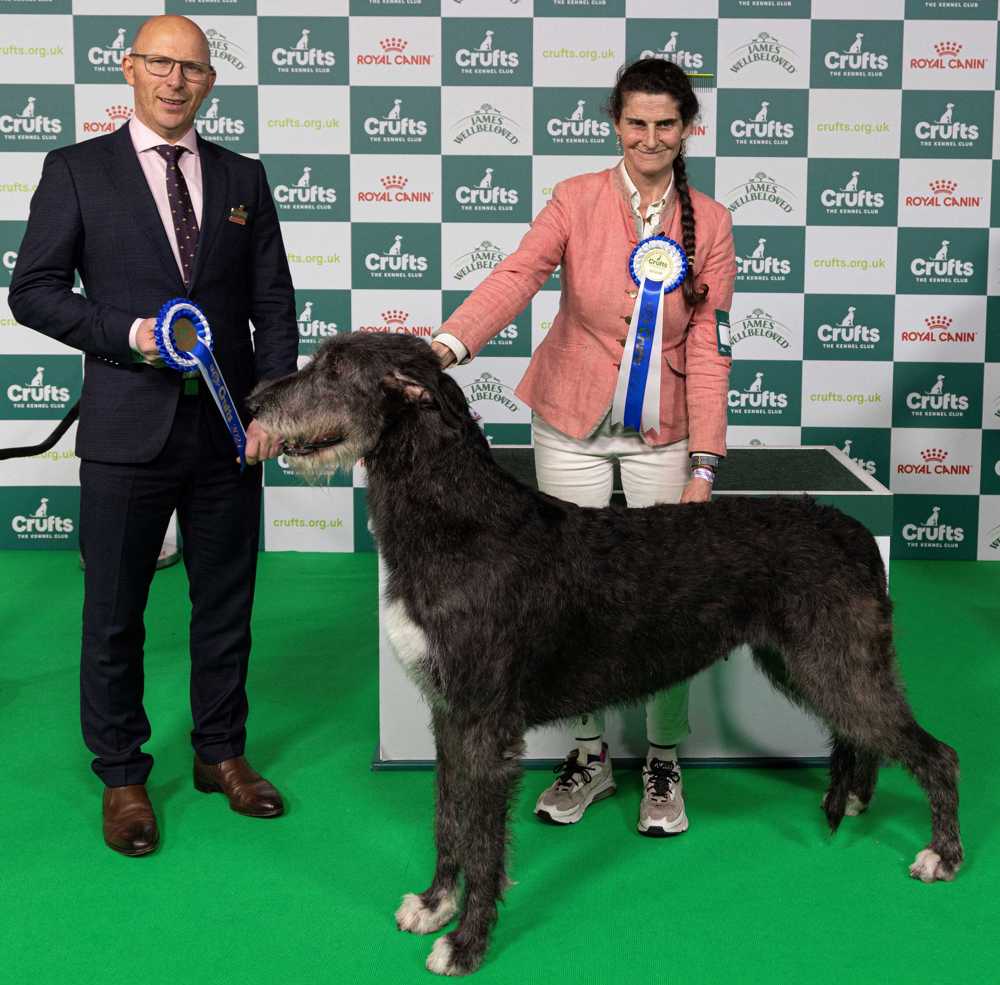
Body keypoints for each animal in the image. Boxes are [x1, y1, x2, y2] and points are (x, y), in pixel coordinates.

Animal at [248, 332, 960, 976]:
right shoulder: (448, 712)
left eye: (333, 369)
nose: (252, 400)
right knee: (864, 732)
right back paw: (860, 799)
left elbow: (482, 841)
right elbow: (448, 817)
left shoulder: (485, 723)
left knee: (935, 752)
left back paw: (942, 855)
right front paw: (433, 903)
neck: (457, 521)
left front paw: (467, 944)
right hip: (805, 662)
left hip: (834, 658)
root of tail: (853, 528)